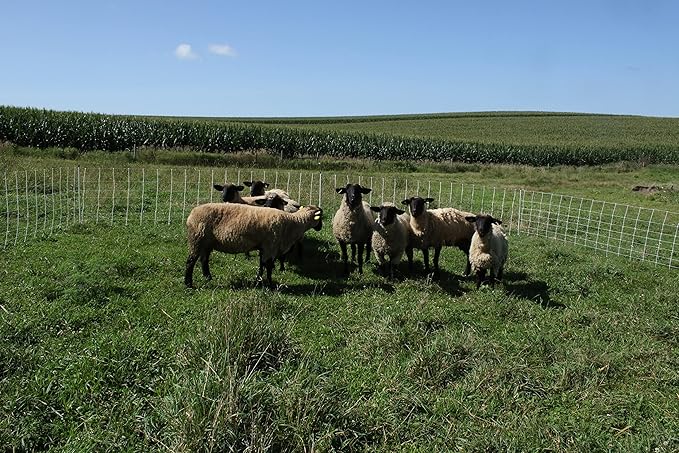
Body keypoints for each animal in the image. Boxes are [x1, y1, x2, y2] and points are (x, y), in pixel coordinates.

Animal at [184, 203, 323, 288]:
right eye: (321, 218)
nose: (320, 228)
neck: (293, 222)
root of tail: (192, 214)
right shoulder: (270, 246)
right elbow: (268, 266)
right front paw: (270, 284)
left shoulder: (264, 247)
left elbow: (262, 264)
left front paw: (258, 281)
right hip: (197, 239)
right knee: (191, 261)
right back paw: (188, 283)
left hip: (207, 243)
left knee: (204, 259)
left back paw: (208, 277)